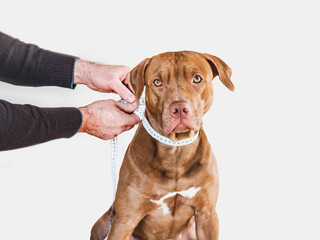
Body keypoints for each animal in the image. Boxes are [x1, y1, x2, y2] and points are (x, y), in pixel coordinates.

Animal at [91, 51, 234, 240]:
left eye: (197, 78)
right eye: (158, 82)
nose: (179, 108)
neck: (176, 149)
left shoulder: (207, 214)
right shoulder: (125, 219)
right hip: (103, 224)